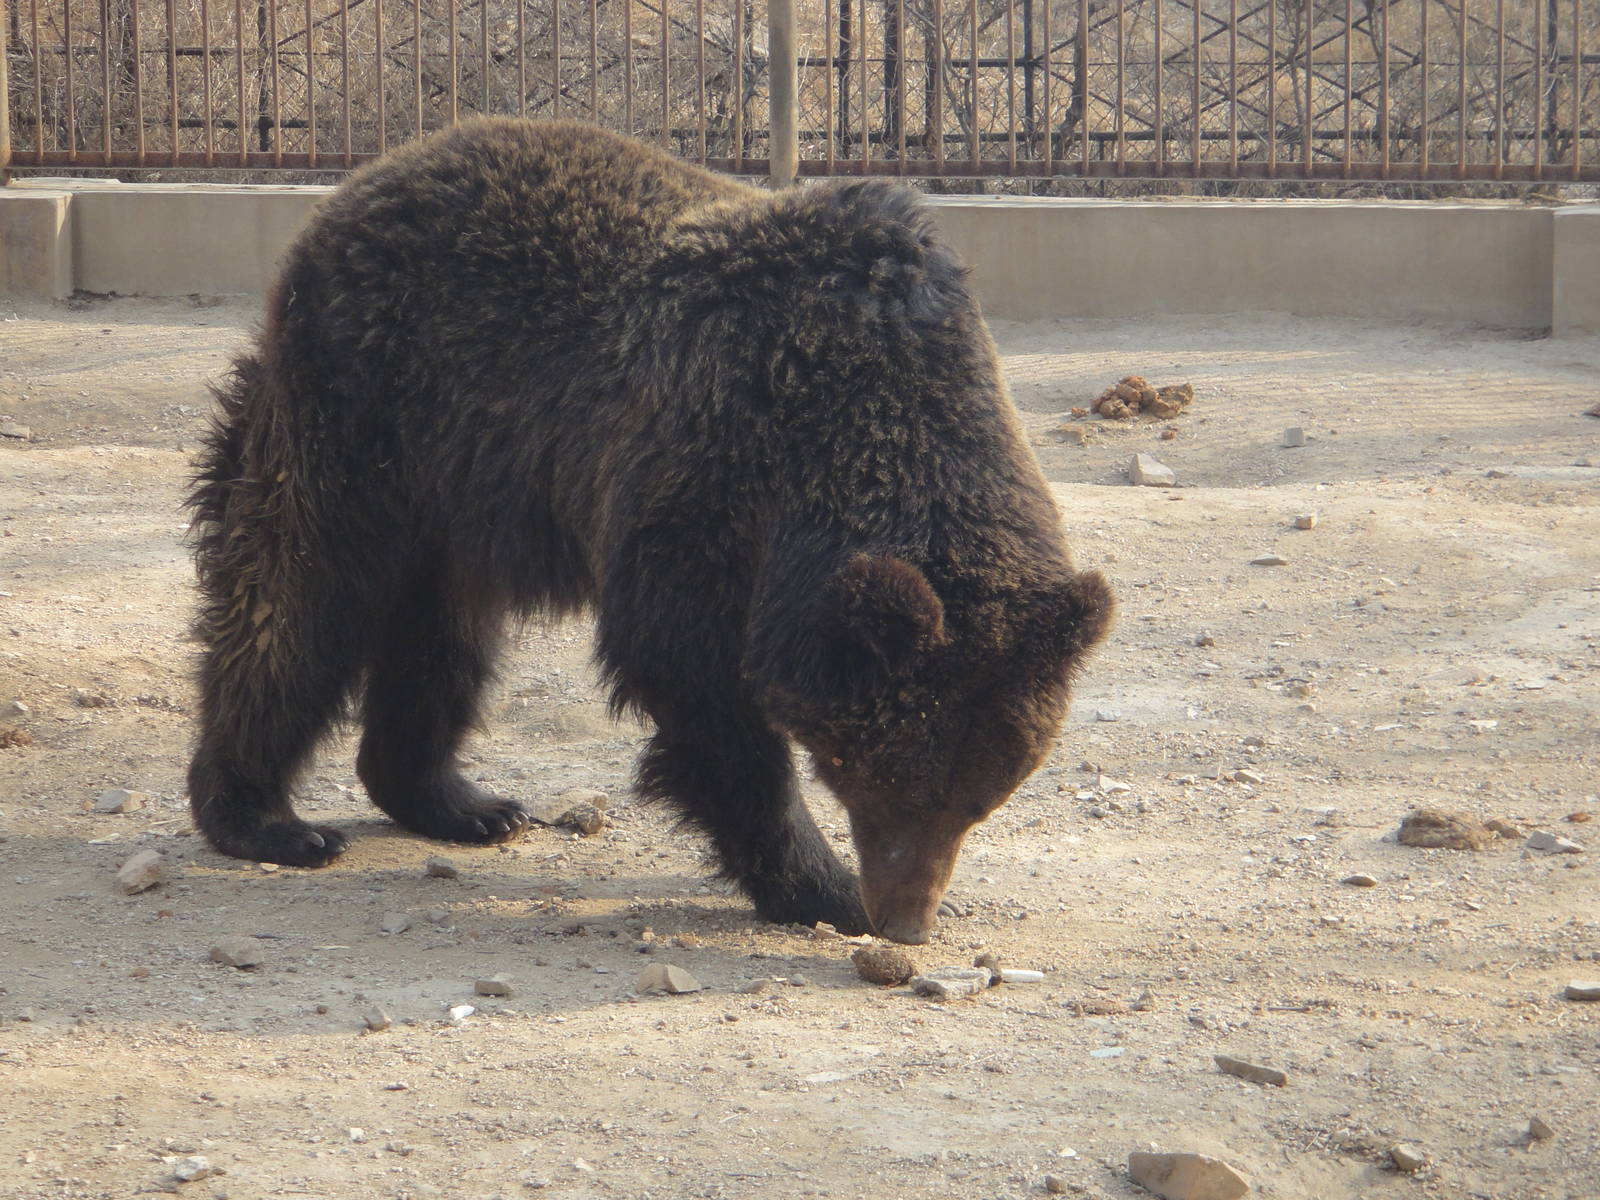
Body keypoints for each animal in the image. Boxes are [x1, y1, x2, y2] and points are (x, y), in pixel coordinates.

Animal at [186, 117, 1112, 945]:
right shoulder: (706, 457)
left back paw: (461, 801)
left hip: (460, 491)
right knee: (299, 591)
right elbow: (690, 671)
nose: (908, 922)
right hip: (368, 410)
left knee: (444, 633)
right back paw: (264, 815)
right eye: (890, 778)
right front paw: (820, 885)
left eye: (984, 795)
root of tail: (359, 186)